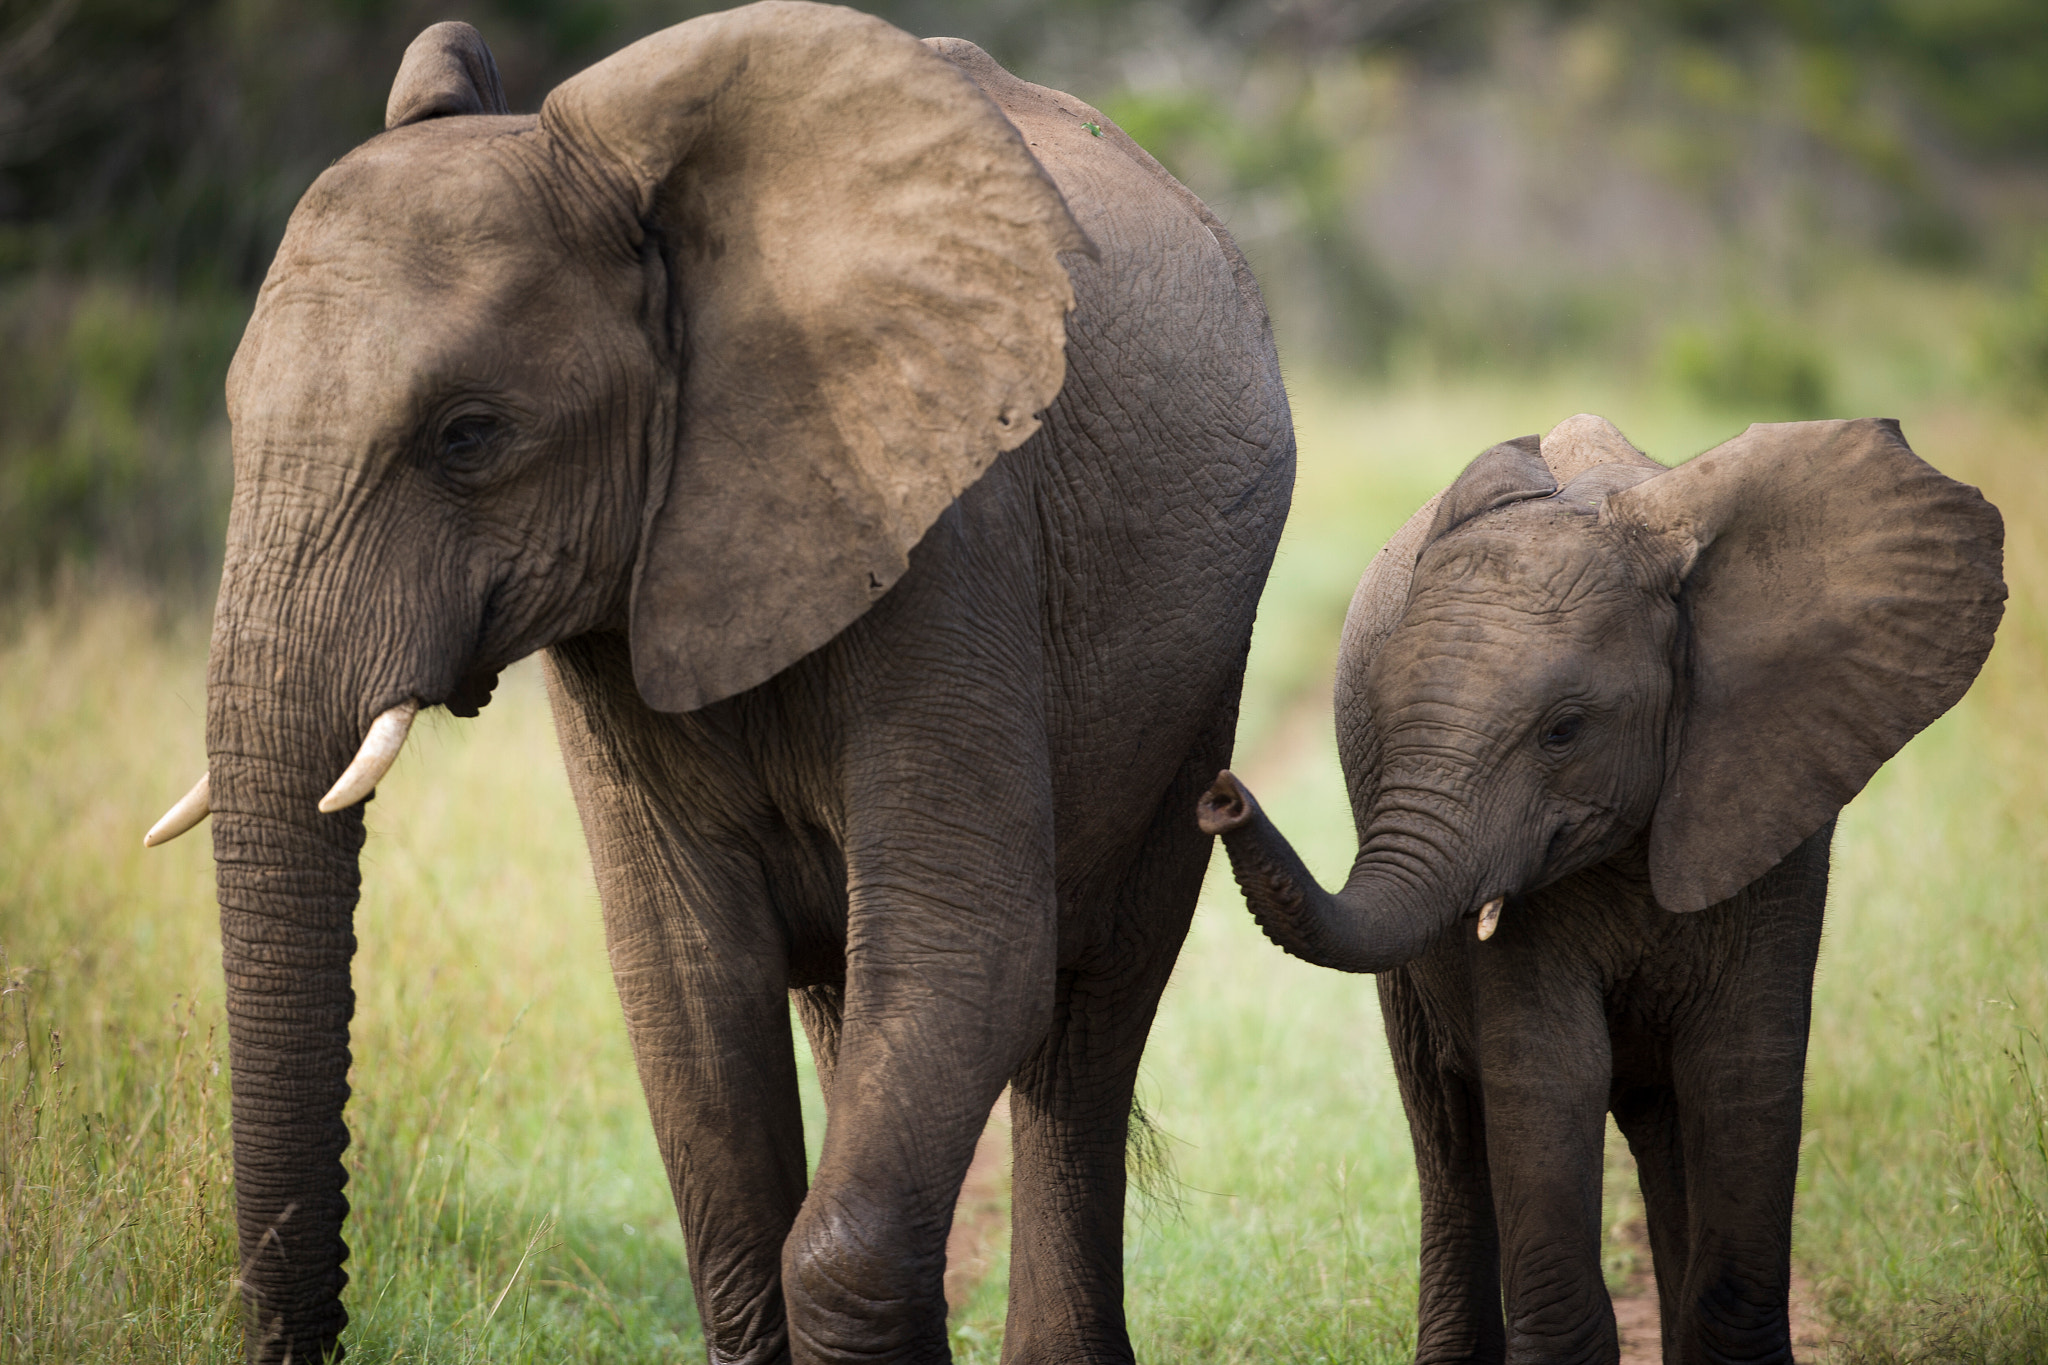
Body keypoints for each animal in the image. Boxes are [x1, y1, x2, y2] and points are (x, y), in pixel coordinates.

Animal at [144, 5, 1294, 1358]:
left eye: (467, 437)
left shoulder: (951, 531)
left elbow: (973, 954)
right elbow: (690, 993)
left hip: (1191, 695)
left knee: (1083, 1024)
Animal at [1196, 417, 1998, 1365]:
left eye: (1564, 731)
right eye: (1379, 733)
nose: (1220, 793)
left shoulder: (1778, 784)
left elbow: (1745, 1067)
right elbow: (1550, 1075)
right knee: (1446, 1128)